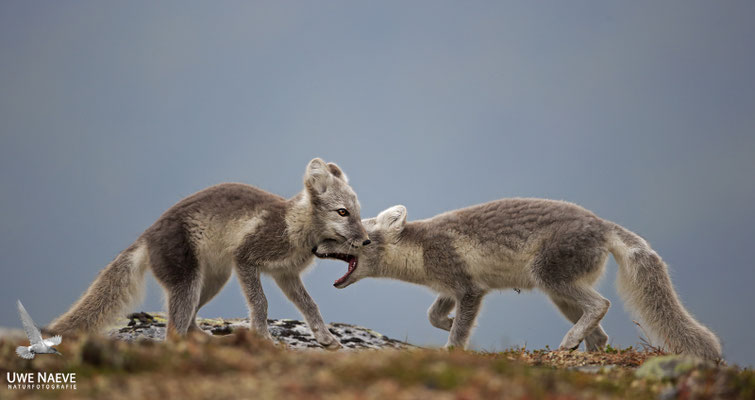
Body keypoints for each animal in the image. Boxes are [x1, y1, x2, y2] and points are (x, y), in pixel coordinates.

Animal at [48, 158, 370, 349]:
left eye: (357, 212)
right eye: (342, 213)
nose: (367, 241)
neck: (293, 226)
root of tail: (147, 235)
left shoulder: (285, 274)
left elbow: (310, 306)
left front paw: (326, 338)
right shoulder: (245, 259)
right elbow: (261, 303)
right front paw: (264, 338)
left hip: (212, 281)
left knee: (189, 323)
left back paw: (212, 342)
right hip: (190, 282)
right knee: (174, 331)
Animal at [313, 199, 723, 360]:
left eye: (350, 237)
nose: (314, 247)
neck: (419, 251)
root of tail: (603, 224)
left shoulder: (470, 289)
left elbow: (458, 329)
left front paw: (453, 346)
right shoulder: (451, 288)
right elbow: (434, 315)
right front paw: (449, 324)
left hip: (551, 279)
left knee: (602, 305)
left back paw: (570, 342)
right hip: (559, 294)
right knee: (601, 332)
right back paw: (582, 350)